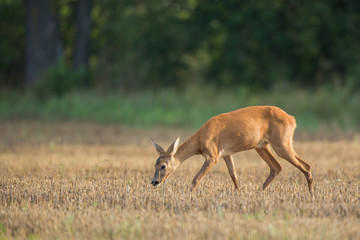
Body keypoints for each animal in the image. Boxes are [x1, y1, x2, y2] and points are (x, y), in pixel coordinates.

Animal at [150, 106, 314, 192]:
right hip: (261, 146)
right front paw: (238, 193)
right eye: (154, 165)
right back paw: (259, 192)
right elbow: (233, 175)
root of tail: (292, 119)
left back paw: (311, 193)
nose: (154, 181)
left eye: (163, 166)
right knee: (276, 167)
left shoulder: (213, 155)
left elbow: (196, 178)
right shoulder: (226, 154)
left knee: (306, 165)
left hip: (281, 142)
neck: (201, 140)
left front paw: (189, 194)